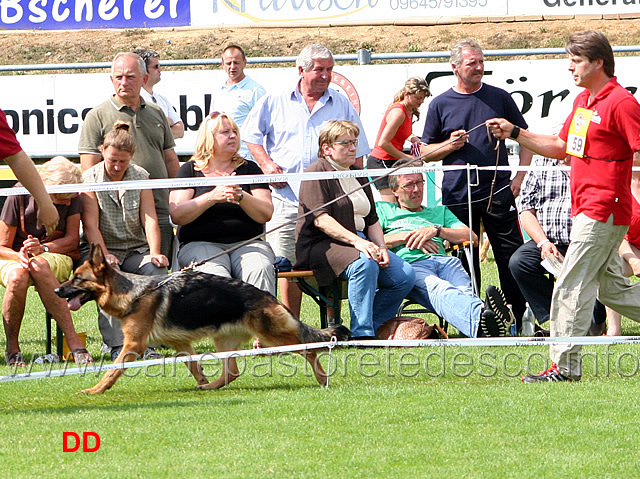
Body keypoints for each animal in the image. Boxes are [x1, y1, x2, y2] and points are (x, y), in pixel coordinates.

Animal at [55, 246, 350, 396]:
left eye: (78, 279)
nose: (57, 290)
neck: (134, 292)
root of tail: (267, 295)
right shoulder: (181, 344)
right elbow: (193, 365)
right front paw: (200, 380)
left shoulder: (133, 346)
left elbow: (112, 370)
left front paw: (96, 389)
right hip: (224, 340)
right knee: (232, 372)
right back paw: (210, 386)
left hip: (270, 336)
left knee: (309, 349)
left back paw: (322, 377)